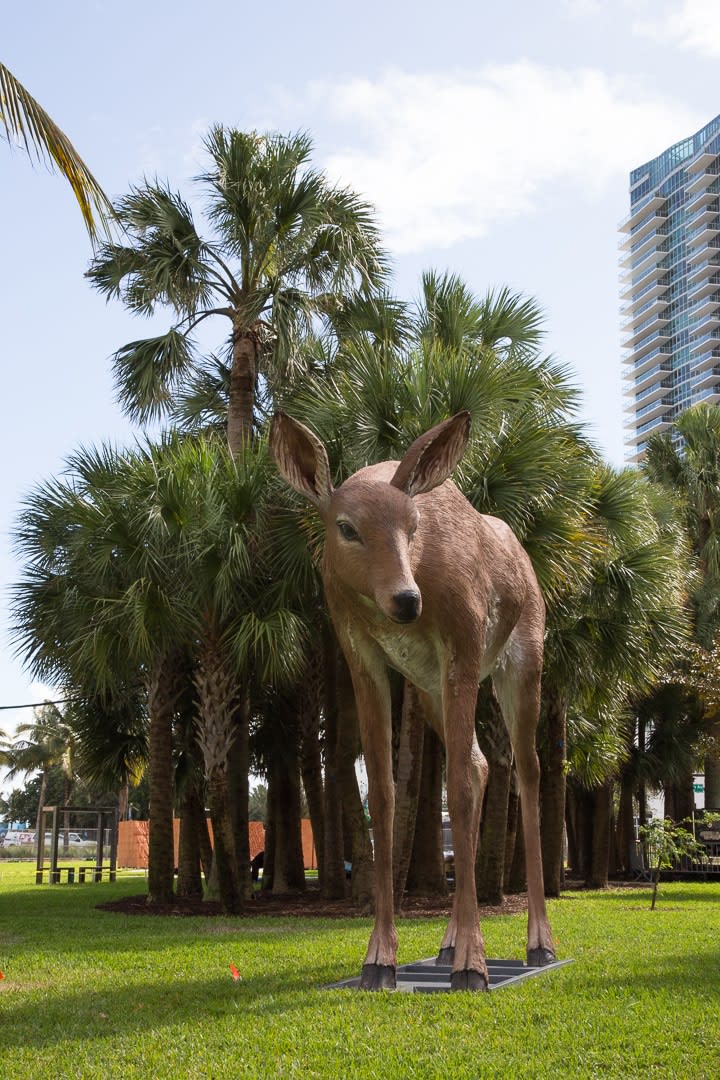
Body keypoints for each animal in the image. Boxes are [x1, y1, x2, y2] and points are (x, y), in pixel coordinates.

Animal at [270, 409, 556, 991]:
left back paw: (537, 944)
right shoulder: (361, 654)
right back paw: (446, 945)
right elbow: (382, 794)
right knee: (479, 762)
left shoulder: (463, 645)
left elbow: (457, 791)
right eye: (346, 526)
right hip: (428, 688)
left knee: (527, 770)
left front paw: (475, 965)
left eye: (413, 525)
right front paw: (379, 959)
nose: (406, 600)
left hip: (520, 663)